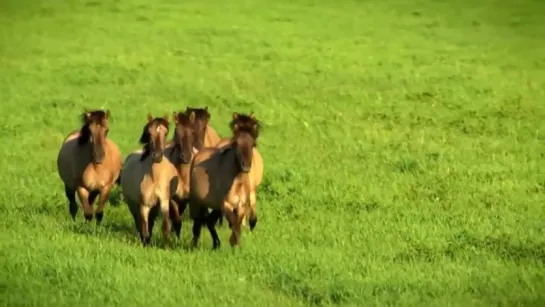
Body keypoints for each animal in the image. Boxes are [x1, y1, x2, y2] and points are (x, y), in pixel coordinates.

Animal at [120, 114, 180, 247]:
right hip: (133, 204)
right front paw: (146, 244)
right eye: (149, 133)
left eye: (165, 133)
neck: (154, 177)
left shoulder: (163, 202)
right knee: (139, 224)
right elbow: (144, 229)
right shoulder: (144, 206)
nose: (157, 156)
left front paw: (166, 246)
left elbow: (165, 227)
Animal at [187, 112, 264, 249]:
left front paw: (235, 244)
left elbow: (237, 224)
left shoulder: (241, 205)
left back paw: (216, 244)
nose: (246, 166)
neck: (237, 182)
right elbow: (234, 224)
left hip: (215, 207)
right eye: (236, 143)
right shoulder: (226, 204)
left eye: (253, 144)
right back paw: (195, 246)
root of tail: (197, 154)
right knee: (197, 224)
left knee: (209, 222)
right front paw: (234, 243)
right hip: (198, 202)